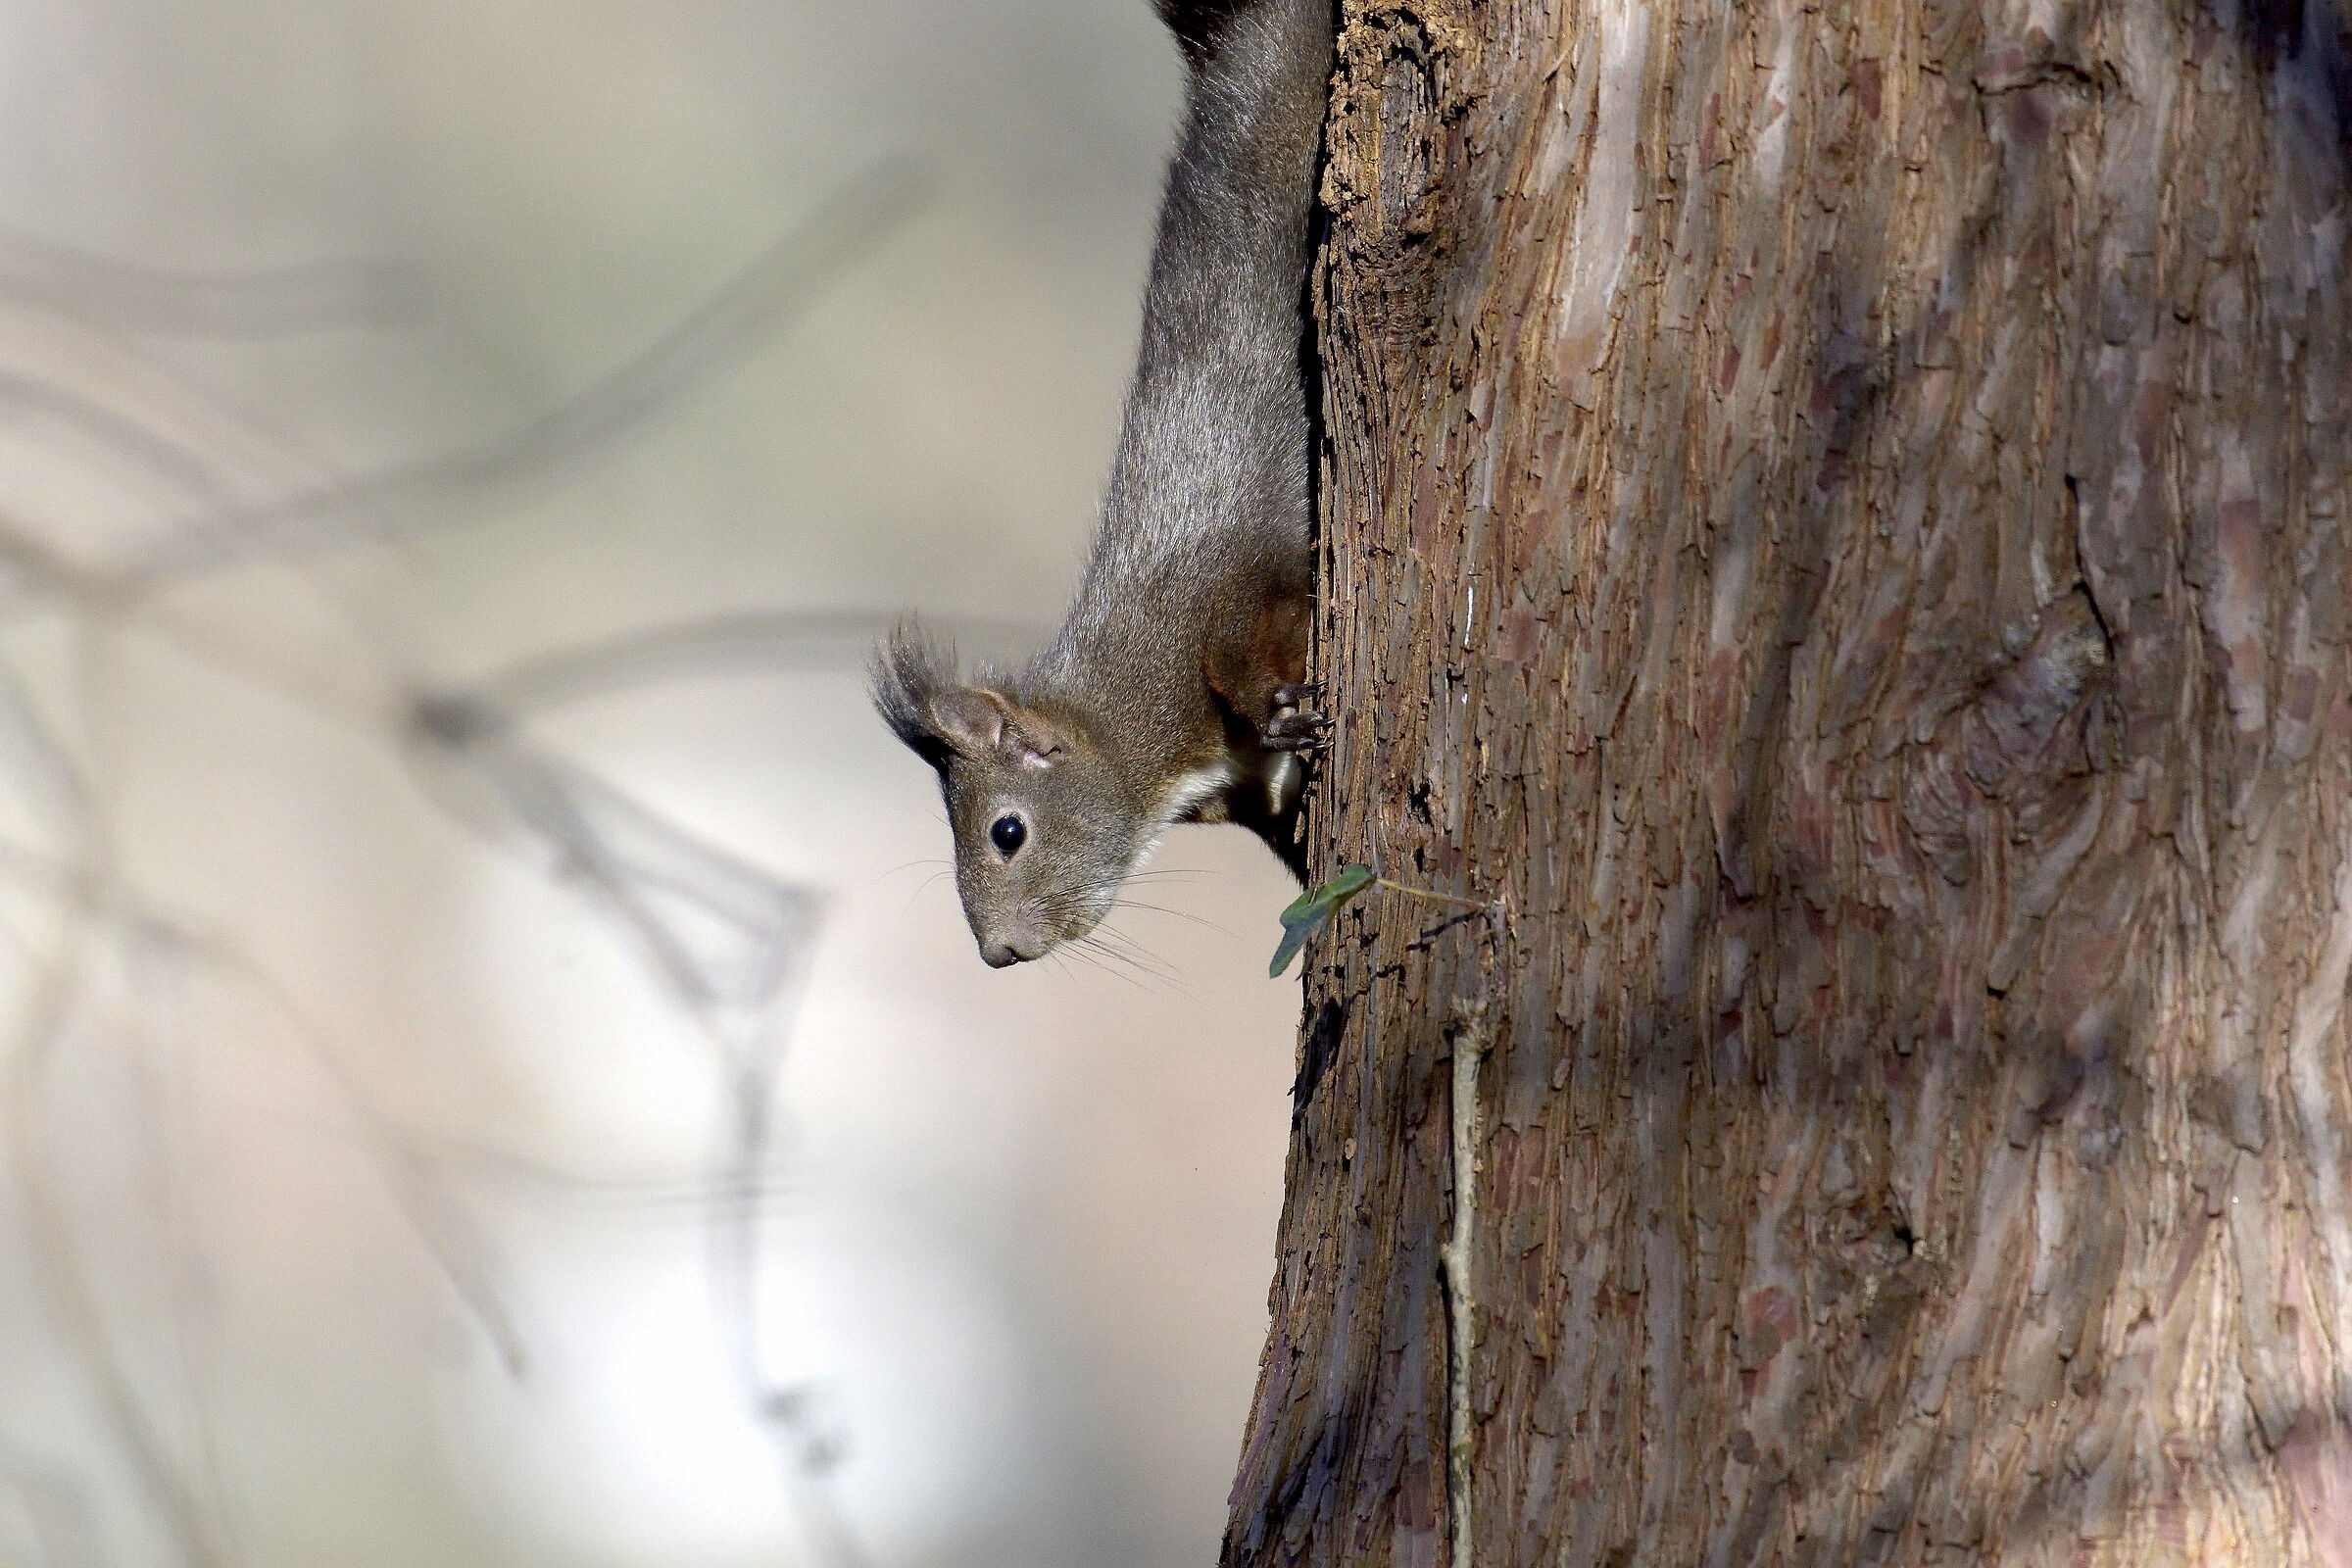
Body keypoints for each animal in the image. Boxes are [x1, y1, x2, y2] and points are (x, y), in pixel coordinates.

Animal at [872, 0, 1333, 968]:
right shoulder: (1234, 792)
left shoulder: (1216, 589)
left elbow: (1246, 626)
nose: (997, 954)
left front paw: (1273, 710)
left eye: (1007, 831)